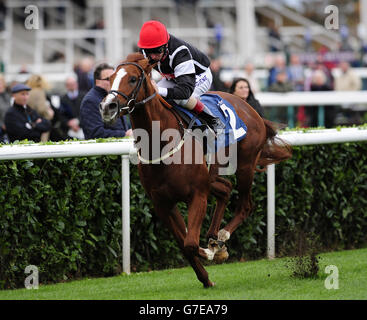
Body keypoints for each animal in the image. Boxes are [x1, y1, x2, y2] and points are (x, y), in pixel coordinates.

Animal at [100, 53, 294, 288]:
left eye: (133, 78)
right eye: (110, 78)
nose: (107, 106)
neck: (160, 142)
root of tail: (250, 108)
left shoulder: (198, 195)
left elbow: (191, 242)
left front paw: (211, 253)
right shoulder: (163, 204)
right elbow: (183, 243)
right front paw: (206, 277)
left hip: (245, 166)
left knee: (245, 205)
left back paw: (221, 236)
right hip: (213, 176)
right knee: (226, 189)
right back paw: (214, 237)